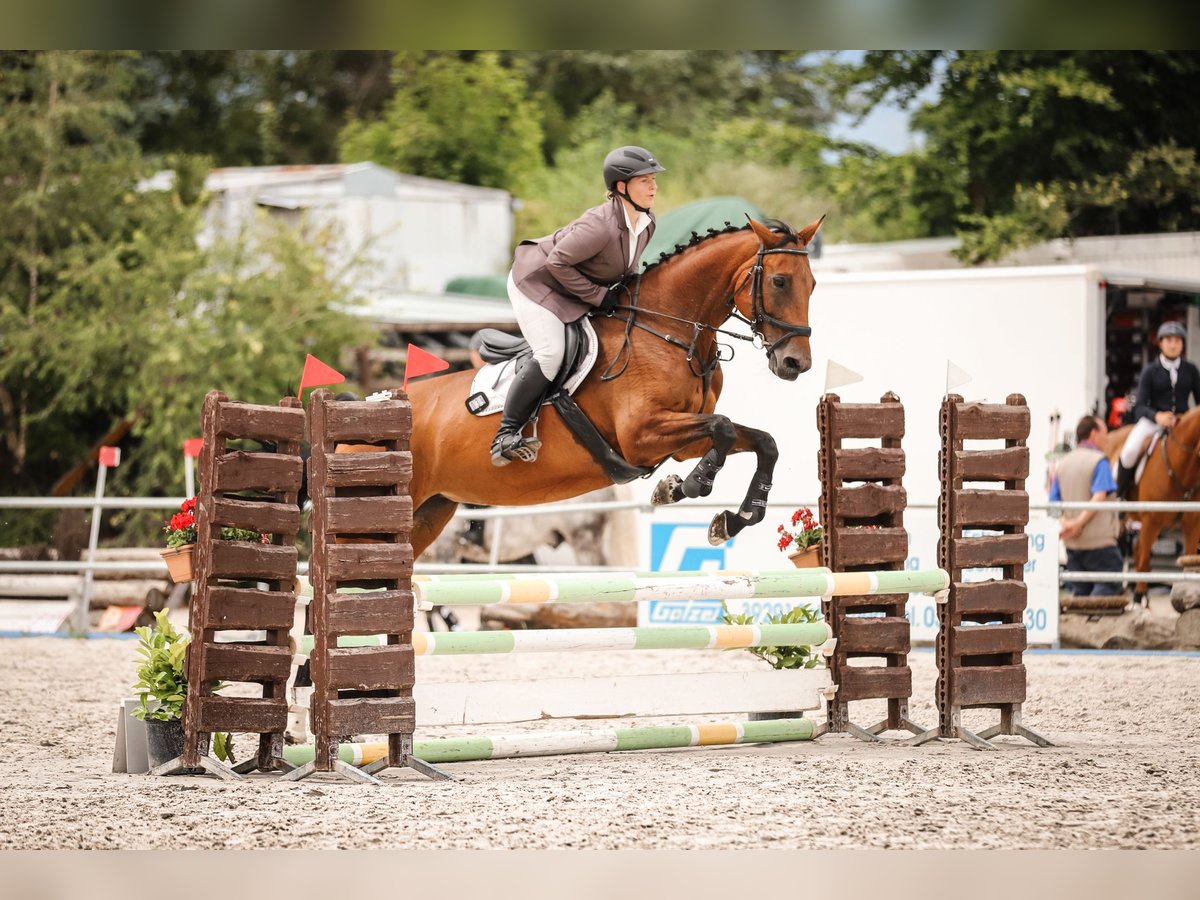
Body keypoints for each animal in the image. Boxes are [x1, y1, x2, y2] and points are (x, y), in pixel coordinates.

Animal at [405, 216, 825, 561]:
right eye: (779, 281)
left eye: (813, 285)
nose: (796, 363)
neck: (669, 333)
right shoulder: (641, 435)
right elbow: (722, 427)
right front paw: (684, 486)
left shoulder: (683, 442)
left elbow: (761, 442)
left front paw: (733, 518)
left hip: (432, 511)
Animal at [1099, 408, 1200, 607]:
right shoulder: (1151, 521)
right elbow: (1145, 561)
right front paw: (1139, 598)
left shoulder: (1192, 526)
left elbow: (1189, 562)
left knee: (1137, 550)